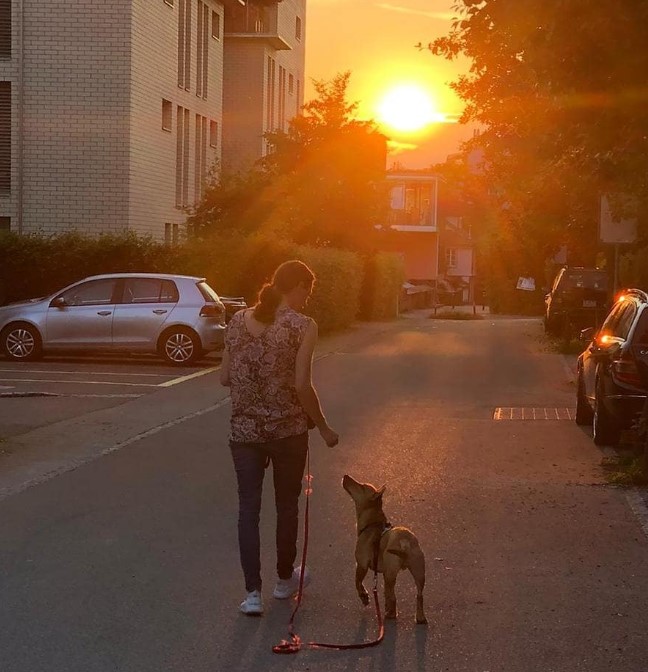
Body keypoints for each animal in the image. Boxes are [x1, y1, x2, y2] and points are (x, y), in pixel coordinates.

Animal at [342, 472, 428, 624]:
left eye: (361, 486)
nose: (345, 475)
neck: (372, 523)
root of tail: (405, 541)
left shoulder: (361, 565)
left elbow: (357, 582)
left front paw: (364, 597)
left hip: (390, 574)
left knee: (392, 596)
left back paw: (390, 614)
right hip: (419, 572)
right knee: (418, 595)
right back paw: (420, 617)